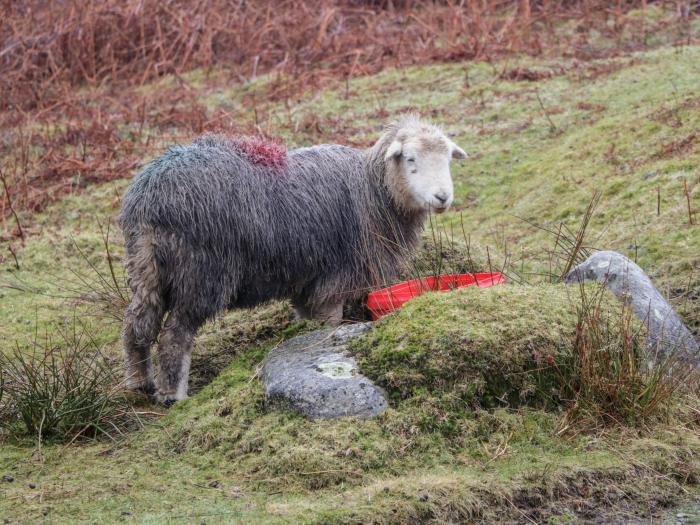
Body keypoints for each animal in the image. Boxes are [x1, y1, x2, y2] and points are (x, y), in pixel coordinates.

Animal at [119, 114, 470, 404]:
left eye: (447, 160)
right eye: (410, 159)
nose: (443, 197)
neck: (373, 191)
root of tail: (151, 197)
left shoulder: (307, 279)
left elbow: (305, 319)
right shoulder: (335, 277)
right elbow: (329, 321)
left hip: (145, 266)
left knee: (137, 325)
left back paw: (139, 382)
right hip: (202, 272)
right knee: (175, 335)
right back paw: (173, 394)